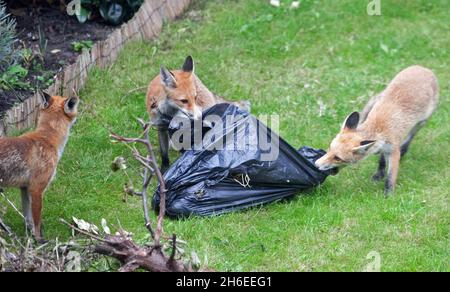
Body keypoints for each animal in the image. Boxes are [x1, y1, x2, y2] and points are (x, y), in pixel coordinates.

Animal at [0, 92, 79, 241]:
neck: (47, 138)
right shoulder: (37, 188)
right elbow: (36, 220)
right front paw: (39, 240)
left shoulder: (25, 188)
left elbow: (28, 218)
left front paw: (30, 235)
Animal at [314, 66, 438, 196]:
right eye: (329, 148)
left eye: (338, 158)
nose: (316, 165)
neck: (377, 128)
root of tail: (423, 68)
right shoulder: (383, 146)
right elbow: (381, 161)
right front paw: (379, 174)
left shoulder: (393, 151)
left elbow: (390, 176)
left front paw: (389, 194)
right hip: (376, 98)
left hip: (422, 122)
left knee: (411, 136)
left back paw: (404, 148)